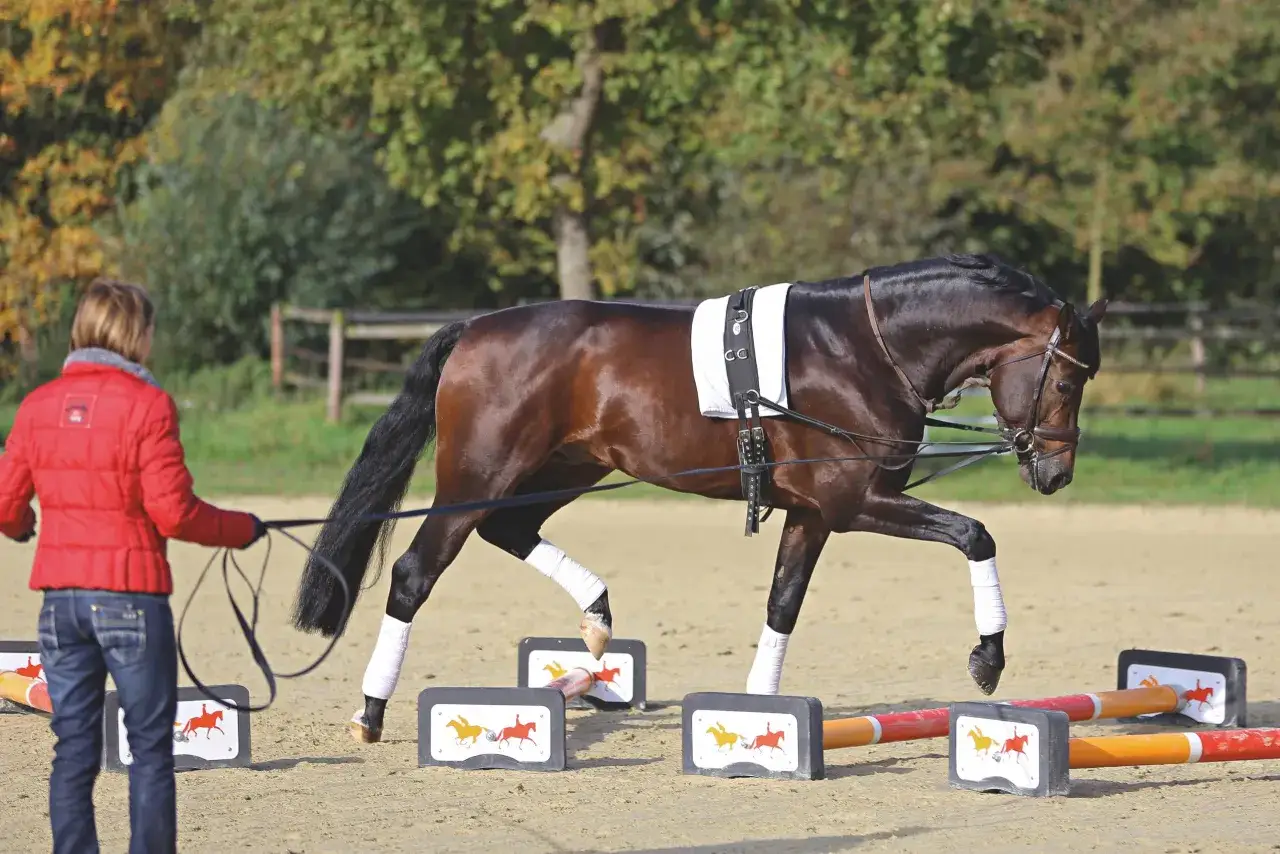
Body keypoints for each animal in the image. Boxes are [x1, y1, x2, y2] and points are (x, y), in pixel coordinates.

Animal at [288, 253, 1107, 743]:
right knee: (414, 575)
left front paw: (758, 712)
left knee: (510, 533)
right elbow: (975, 534)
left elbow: (783, 604)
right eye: (1069, 380)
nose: (1058, 474)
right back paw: (370, 711)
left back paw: (596, 621)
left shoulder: (813, 515)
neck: (865, 351)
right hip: (478, 477)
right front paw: (988, 659)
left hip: (562, 470)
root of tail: (474, 329)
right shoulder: (854, 503)